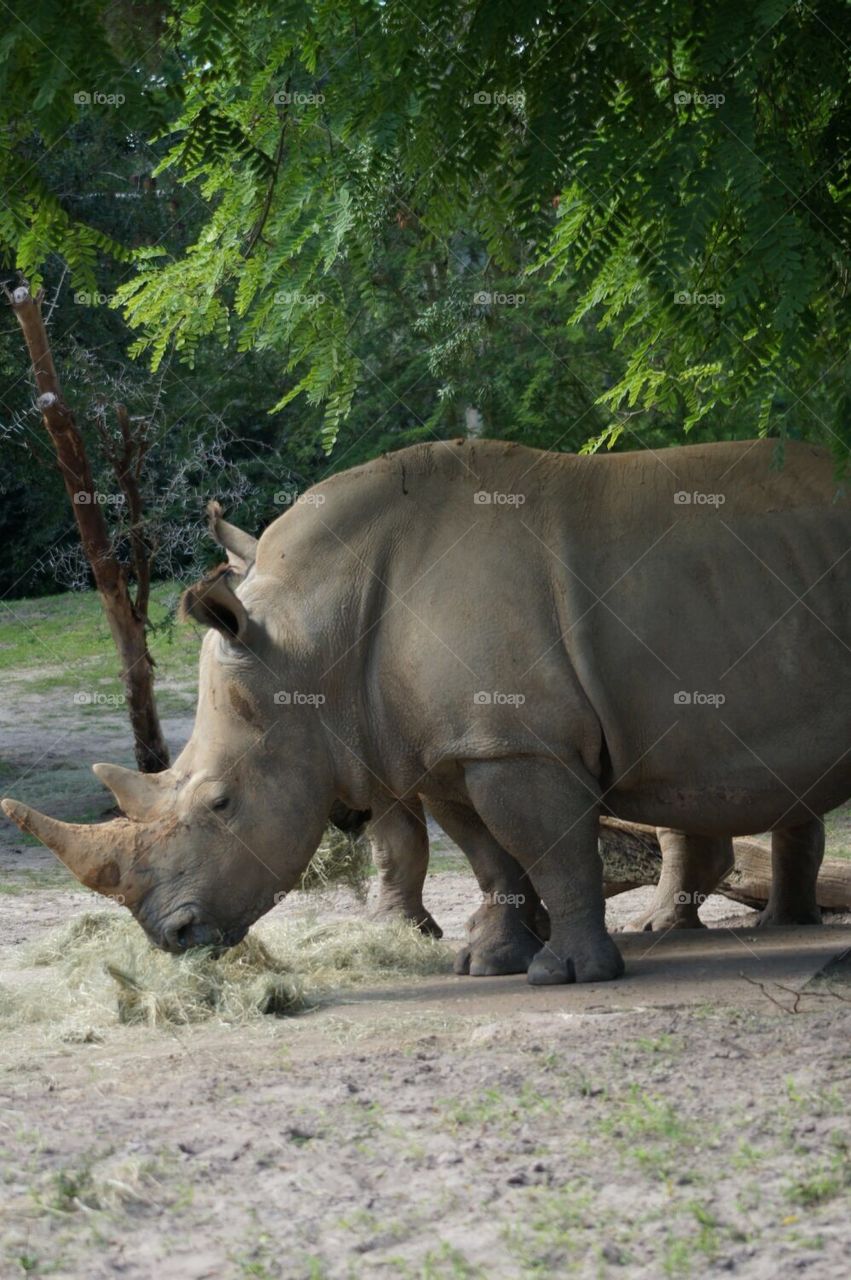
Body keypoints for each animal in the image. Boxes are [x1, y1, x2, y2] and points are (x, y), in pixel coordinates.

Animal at [3, 438, 845, 983]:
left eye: (220, 802)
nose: (172, 937)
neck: (306, 635)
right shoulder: (451, 747)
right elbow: (488, 856)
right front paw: (487, 963)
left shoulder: (515, 742)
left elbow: (552, 852)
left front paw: (568, 974)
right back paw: (764, 925)